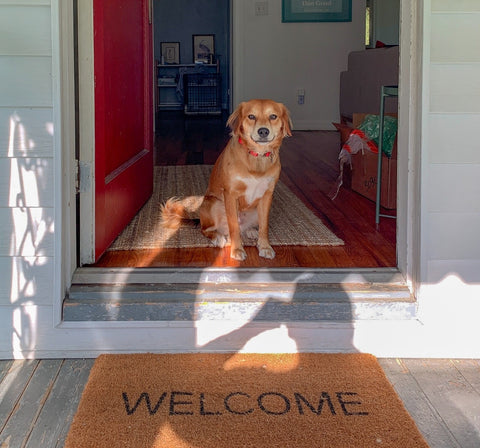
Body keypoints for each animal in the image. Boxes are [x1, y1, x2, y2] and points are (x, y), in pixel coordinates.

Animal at [163, 98, 292, 260]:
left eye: (273, 116)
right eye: (251, 116)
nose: (263, 131)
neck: (256, 157)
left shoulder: (267, 196)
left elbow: (264, 226)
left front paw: (264, 246)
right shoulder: (230, 194)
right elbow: (234, 227)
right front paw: (237, 250)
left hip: (254, 209)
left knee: (243, 227)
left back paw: (250, 231)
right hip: (213, 203)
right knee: (207, 230)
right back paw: (219, 238)